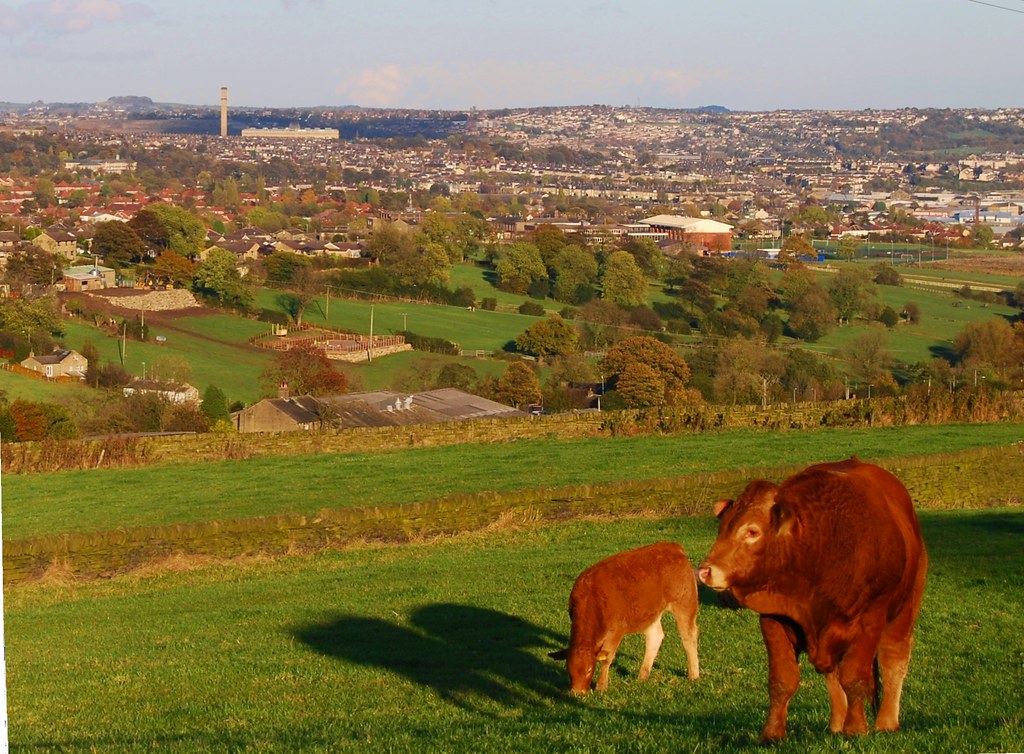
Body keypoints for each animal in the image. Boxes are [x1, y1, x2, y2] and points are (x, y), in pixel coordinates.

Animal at [549, 541, 700, 693]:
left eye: (589, 670)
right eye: (569, 670)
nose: (577, 693)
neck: (592, 596)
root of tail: (673, 547)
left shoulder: (617, 630)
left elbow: (607, 657)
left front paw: (601, 686)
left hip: (684, 604)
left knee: (689, 637)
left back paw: (694, 675)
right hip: (651, 613)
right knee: (655, 637)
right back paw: (642, 676)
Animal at [696, 457, 928, 742]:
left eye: (752, 531)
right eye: (722, 528)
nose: (705, 571)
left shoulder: (869, 621)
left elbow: (855, 677)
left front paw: (856, 728)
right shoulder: (774, 619)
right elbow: (782, 680)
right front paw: (772, 733)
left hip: (905, 608)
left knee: (893, 659)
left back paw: (886, 722)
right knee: (833, 674)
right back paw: (837, 723)